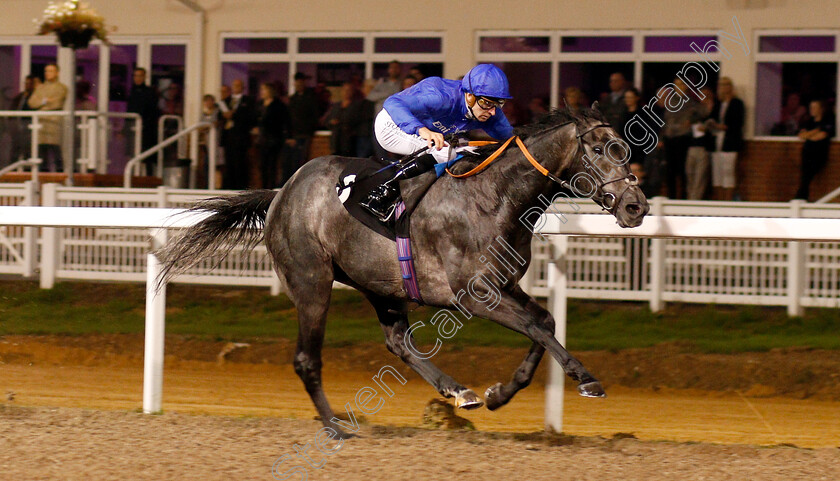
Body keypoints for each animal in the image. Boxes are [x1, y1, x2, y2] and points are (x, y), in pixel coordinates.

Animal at [159, 107, 648, 436]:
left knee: (398, 343)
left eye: (625, 149)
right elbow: (535, 327)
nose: (635, 206)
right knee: (306, 358)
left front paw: (498, 394)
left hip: (381, 285)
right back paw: (335, 426)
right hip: (312, 281)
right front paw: (587, 379)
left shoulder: (504, 284)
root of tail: (282, 193)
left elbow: (543, 323)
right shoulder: (474, 295)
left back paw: (459, 391)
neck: (494, 197)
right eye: (600, 149)